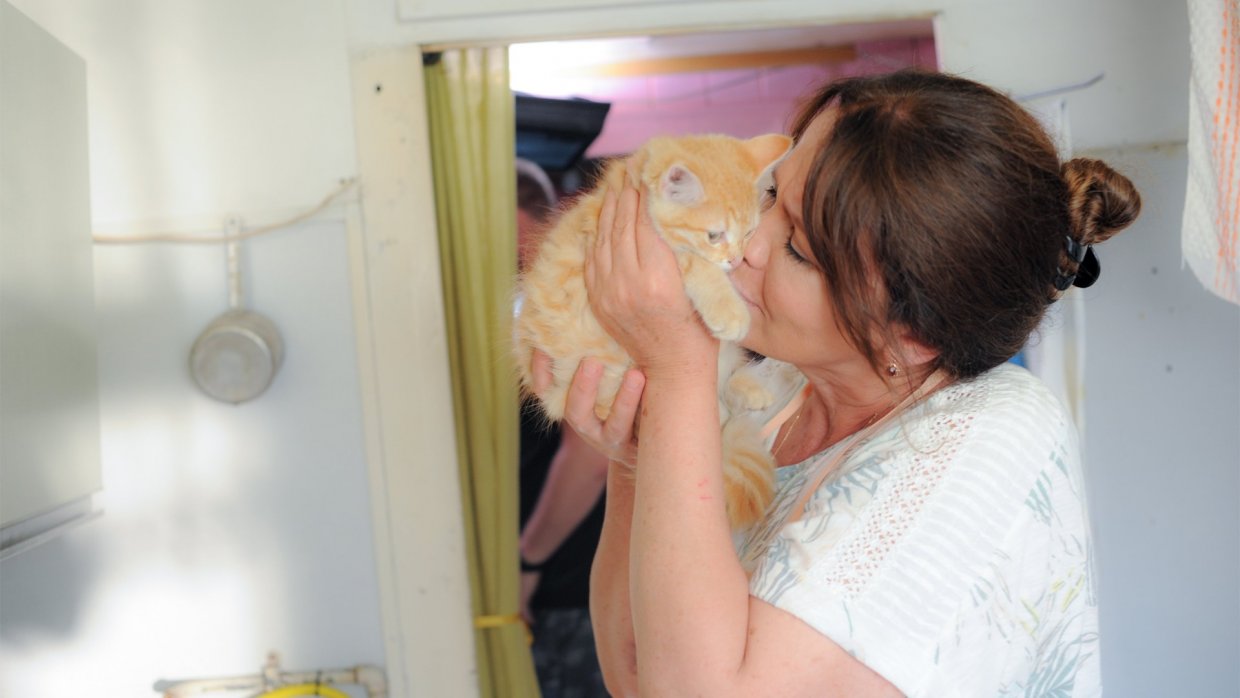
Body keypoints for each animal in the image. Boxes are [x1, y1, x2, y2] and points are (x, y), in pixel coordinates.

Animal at [514, 132, 793, 529]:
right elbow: (692, 261)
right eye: (714, 235)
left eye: (751, 231)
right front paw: (729, 308)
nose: (737, 259)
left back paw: (747, 389)